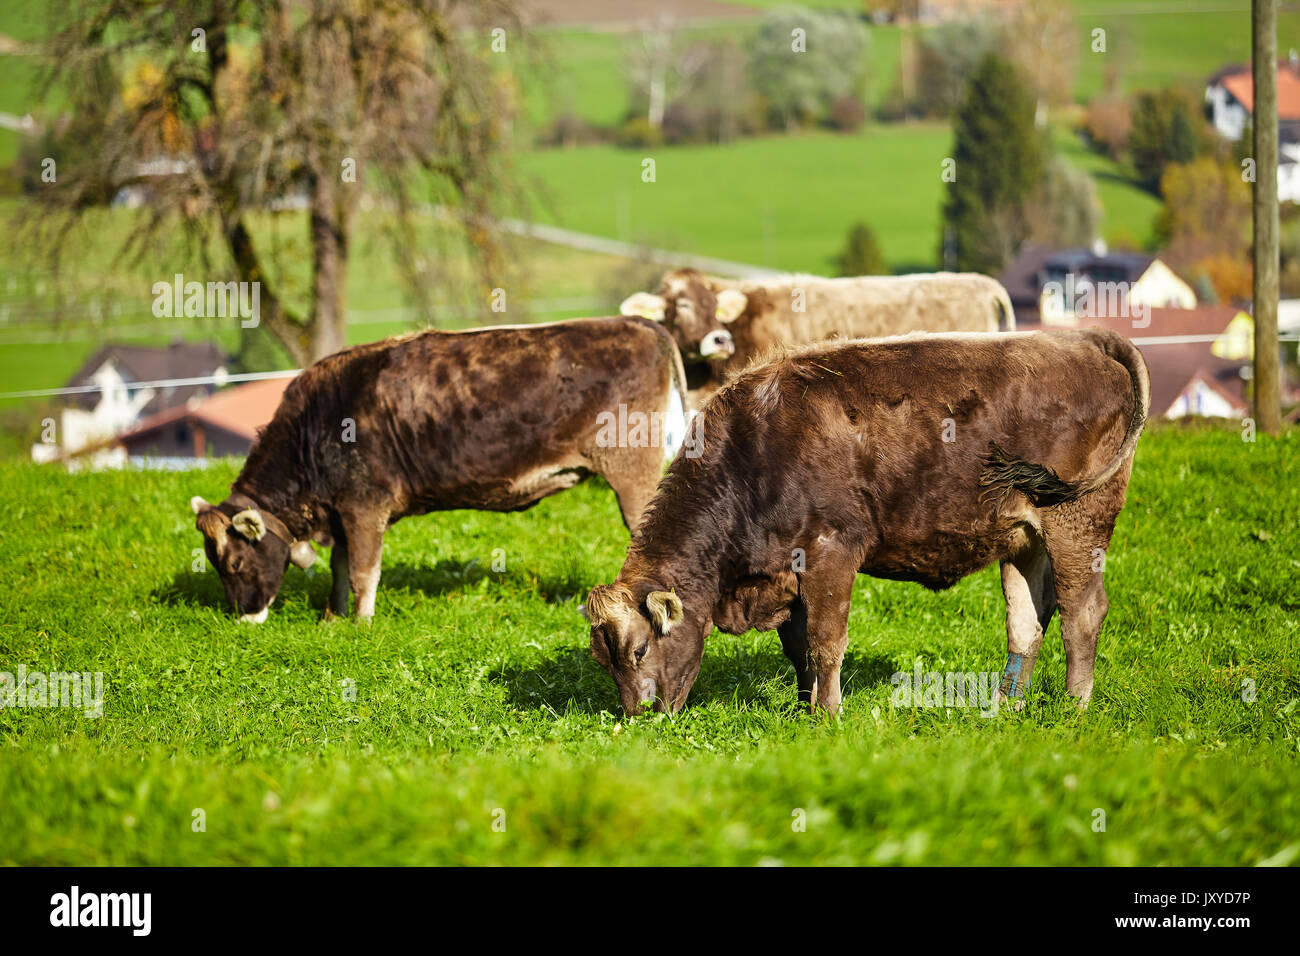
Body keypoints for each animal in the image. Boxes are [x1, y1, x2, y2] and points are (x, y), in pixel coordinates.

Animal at [190, 317, 688, 622]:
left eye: (234, 561)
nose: (243, 617)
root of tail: (639, 324)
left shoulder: (364, 505)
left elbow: (363, 571)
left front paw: (361, 623)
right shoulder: (344, 511)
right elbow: (339, 566)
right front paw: (332, 618)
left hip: (633, 470)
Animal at [584, 327, 1149, 718]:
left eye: (638, 649)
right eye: (602, 661)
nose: (641, 716)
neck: (756, 452)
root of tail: (1083, 339)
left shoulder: (830, 554)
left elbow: (826, 642)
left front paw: (829, 715)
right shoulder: (788, 574)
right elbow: (799, 648)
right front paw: (804, 707)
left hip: (1078, 523)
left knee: (1081, 615)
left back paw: (1075, 708)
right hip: (1022, 539)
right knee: (1027, 624)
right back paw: (1007, 706)